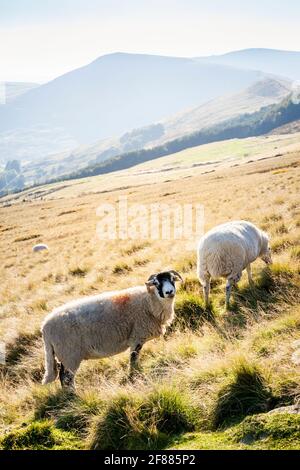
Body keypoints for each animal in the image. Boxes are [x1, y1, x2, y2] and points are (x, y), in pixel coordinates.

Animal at [41, 270, 183, 388]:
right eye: (157, 283)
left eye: (172, 279)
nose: (169, 292)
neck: (149, 301)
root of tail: (45, 327)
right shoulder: (136, 338)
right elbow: (133, 359)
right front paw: (134, 375)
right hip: (70, 354)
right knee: (66, 378)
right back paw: (72, 395)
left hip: (64, 355)